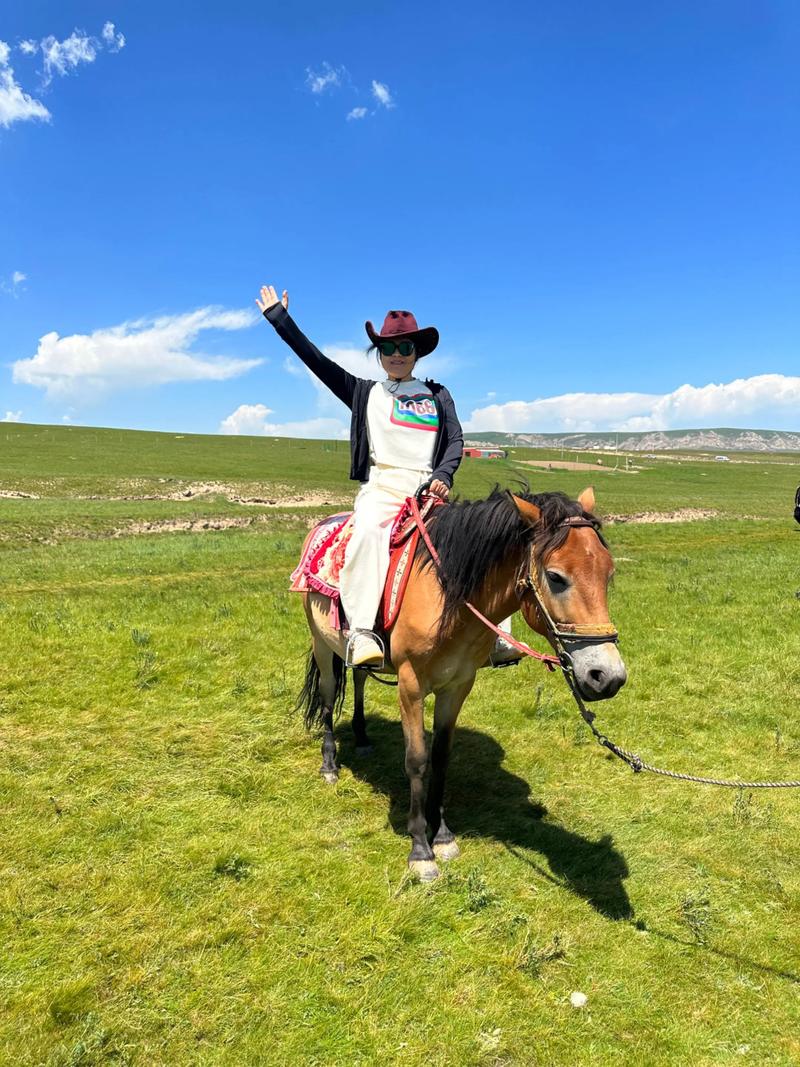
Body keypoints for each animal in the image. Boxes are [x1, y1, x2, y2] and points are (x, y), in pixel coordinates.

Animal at [296, 486, 627, 881]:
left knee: (359, 676)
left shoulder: (457, 686)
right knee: (329, 697)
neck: (448, 597)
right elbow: (417, 760)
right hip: (320, 642)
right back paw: (330, 765)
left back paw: (361, 739)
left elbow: (441, 757)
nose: (608, 677)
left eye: (608, 574)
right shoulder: (411, 685)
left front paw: (442, 835)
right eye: (556, 577)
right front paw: (420, 850)